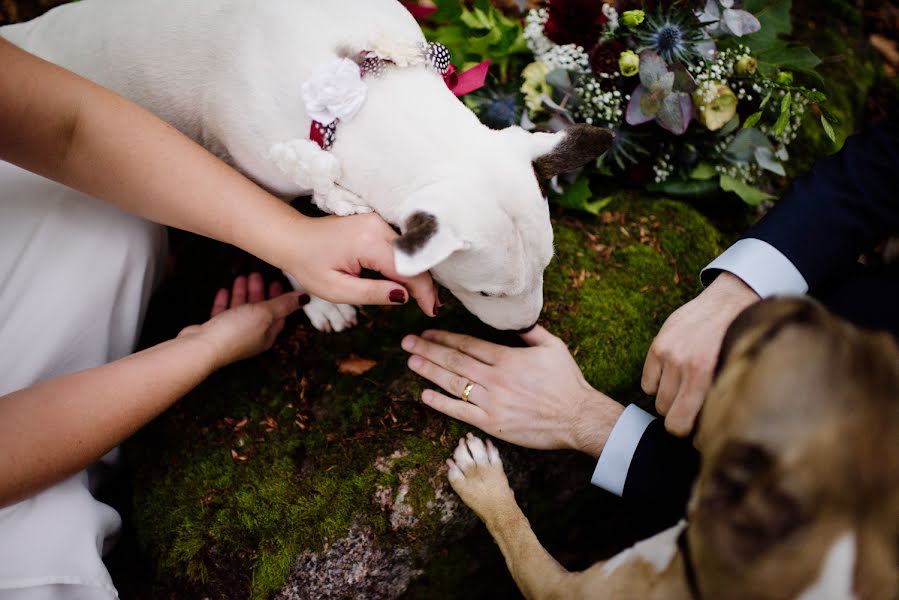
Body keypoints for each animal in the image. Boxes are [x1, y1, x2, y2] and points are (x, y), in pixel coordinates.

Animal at [0, 0, 616, 328]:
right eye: (488, 294)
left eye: (545, 269)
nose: (527, 327)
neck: (364, 94)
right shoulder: (257, 180)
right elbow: (286, 235)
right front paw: (322, 299)